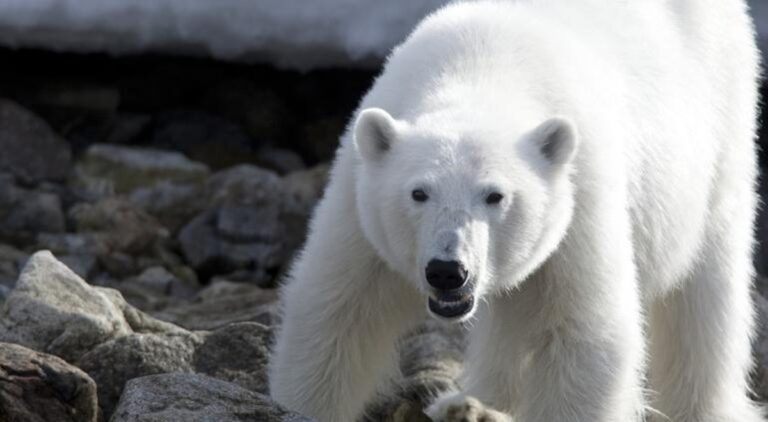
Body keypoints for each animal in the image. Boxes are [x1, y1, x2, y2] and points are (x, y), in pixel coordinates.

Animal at [269, 0, 764, 421]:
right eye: (418, 193)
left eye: (495, 196)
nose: (448, 271)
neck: (481, 68)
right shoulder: (360, 199)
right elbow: (337, 310)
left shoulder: (578, 198)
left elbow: (582, 333)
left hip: (720, 131)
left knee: (703, 292)